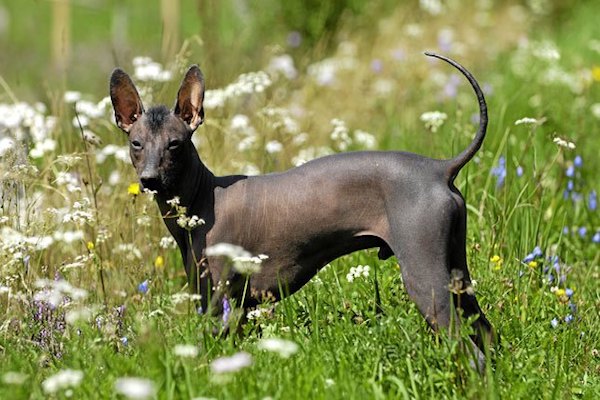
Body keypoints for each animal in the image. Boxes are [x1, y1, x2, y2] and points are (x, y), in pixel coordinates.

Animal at [110, 53, 494, 368]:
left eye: (175, 145)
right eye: (136, 144)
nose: (149, 179)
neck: (204, 198)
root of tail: (438, 168)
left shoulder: (223, 306)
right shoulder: (240, 308)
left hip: (424, 277)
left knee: (470, 350)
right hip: (457, 273)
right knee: (487, 333)